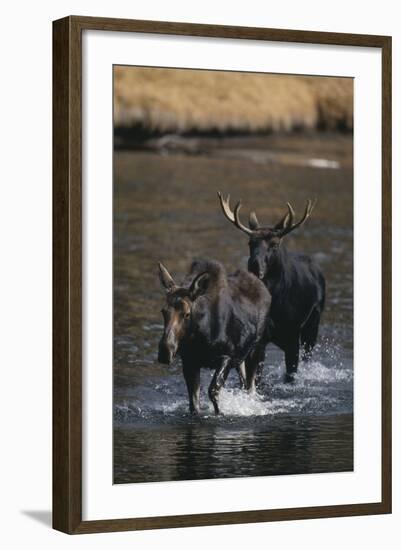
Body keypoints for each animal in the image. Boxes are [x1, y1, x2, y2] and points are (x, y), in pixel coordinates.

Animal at [158, 258, 270, 414]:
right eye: (163, 311)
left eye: (186, 314)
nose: (165, 351)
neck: (199, 337)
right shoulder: (190, 362)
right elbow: (194, 403)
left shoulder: (226, 357)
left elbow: (213, 391)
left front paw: (220, 412)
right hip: (241, 358)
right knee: (243, 383)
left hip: (257, 349)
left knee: (251, 387)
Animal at [217, 194, 324, 384]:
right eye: (250, 243)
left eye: (274, 244)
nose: (254, 264)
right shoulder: (259, 339)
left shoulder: (292, 335)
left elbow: (290, 375)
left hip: (313, 324)